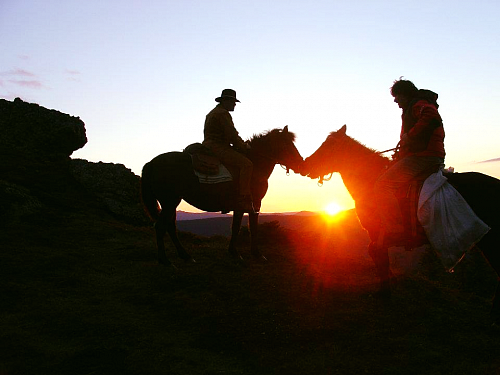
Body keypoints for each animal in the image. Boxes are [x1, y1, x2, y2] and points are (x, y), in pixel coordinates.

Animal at [141, 127, 304, 268]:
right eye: (286, 145)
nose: (300, 164)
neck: (255, 165)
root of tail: (152, 162)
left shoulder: (242, 206)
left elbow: (237, 226)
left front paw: (236, 252)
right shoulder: (253, 203)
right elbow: (249, 227)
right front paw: (254, 254)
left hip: (171, 203)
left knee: (170, 227)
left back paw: (186, 256)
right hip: (170, 202)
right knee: (161, 226)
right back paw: (165, 261)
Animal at [298, 125, 500, 324]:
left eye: (329, 147)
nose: (305, 165)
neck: (371, 179)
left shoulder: (378, 234)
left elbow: (380, 258)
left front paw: (385, 293)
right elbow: (377, 257)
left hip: (490, 241)